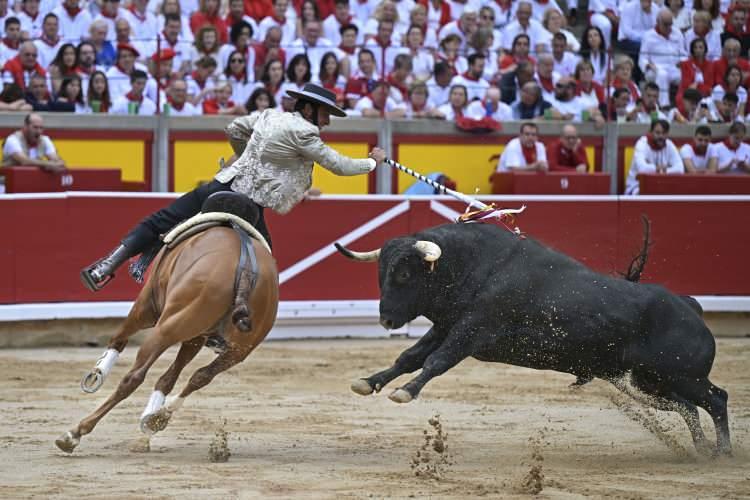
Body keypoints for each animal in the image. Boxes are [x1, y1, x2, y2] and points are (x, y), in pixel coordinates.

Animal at [55, 224, 280, 454]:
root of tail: (246, 270)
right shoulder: (195, 337)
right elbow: (171, 376)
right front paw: (151, 422)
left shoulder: (146, 306)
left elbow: (119, 338)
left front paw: (96, 374)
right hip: (238, 350)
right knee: (200, 376)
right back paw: (158, 418)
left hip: (165, 328)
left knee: (133, 377)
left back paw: (75, 433)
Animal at [336, 221, 736, 456]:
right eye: (380, 272)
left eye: (404, 273)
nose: (386, 319)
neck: (473, 264)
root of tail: (690, 307)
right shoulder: (447, 326)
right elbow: (409, 356)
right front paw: (369, 382)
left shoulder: (471, 331)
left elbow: (436, 361)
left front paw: (405, 392)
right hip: (648, 382)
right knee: (688, 407)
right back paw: (702, 450)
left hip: (681, 376)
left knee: (716, 399)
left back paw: (724, 453)